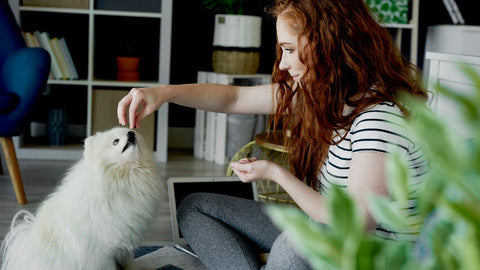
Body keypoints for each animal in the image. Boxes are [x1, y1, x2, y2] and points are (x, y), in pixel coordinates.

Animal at [0, 127, 162, 270]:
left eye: (132, 132)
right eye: (115, 141)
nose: (131, 133)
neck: (123, 178)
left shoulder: (125, 239)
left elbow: (129, 262)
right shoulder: (100, 248)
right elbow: (108, 266)